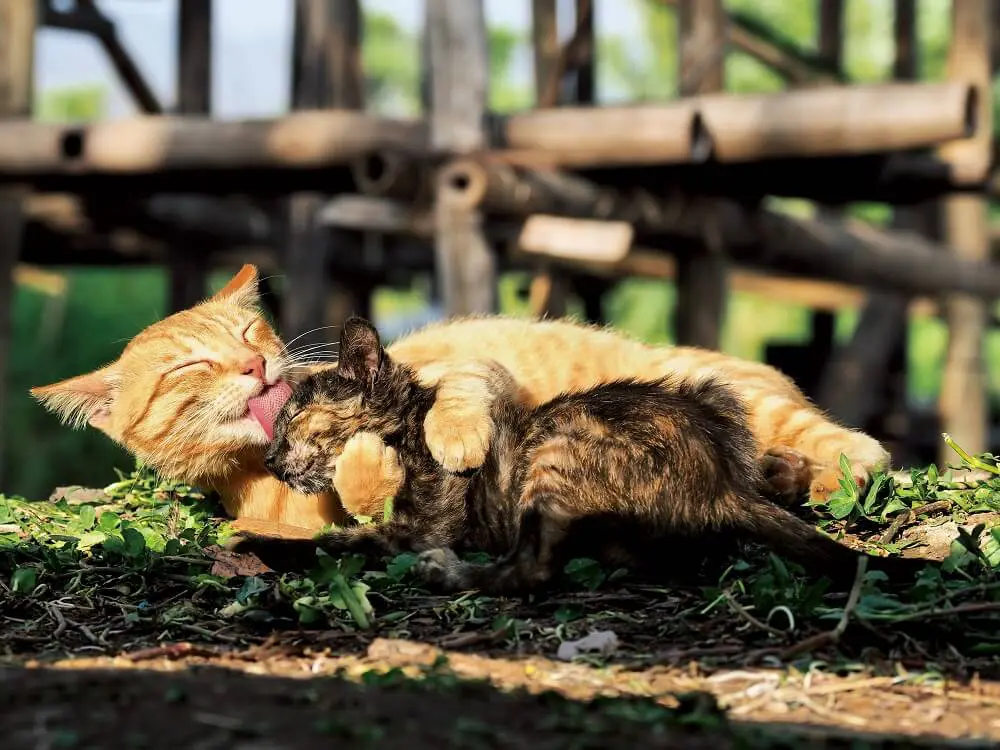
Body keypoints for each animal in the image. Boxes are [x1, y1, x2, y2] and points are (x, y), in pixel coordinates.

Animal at [35, 268, 888, 532]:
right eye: (191, 366)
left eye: (251, 329)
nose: (256, 363)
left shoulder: (470, 368)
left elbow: (456, 397)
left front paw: (441, 440)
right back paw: (785, 476)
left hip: (740, 396)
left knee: (862, 449)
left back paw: (836, 464)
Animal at [230, 318, 924, 592]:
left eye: (291, 420)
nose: (271, 462)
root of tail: (721, 484)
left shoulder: (422, 522)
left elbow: (341, 538)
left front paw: (254, 543)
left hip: (559, 451)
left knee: (531, 570)